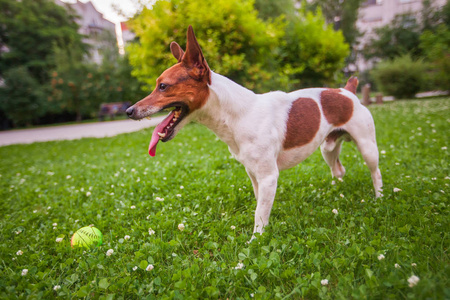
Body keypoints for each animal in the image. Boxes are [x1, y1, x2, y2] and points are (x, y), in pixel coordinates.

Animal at [126, 25, 384, 237]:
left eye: (163, 86)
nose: (128, 110)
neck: (239, 115)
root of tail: (347, 91)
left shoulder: (269, 176)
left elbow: (259, 214)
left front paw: (255, 241)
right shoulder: (253, 174)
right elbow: (261, 205)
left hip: (367, 147)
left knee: (375, 173)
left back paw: (379, 198)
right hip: (328, 149)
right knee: (339, 169)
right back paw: (335, 194)